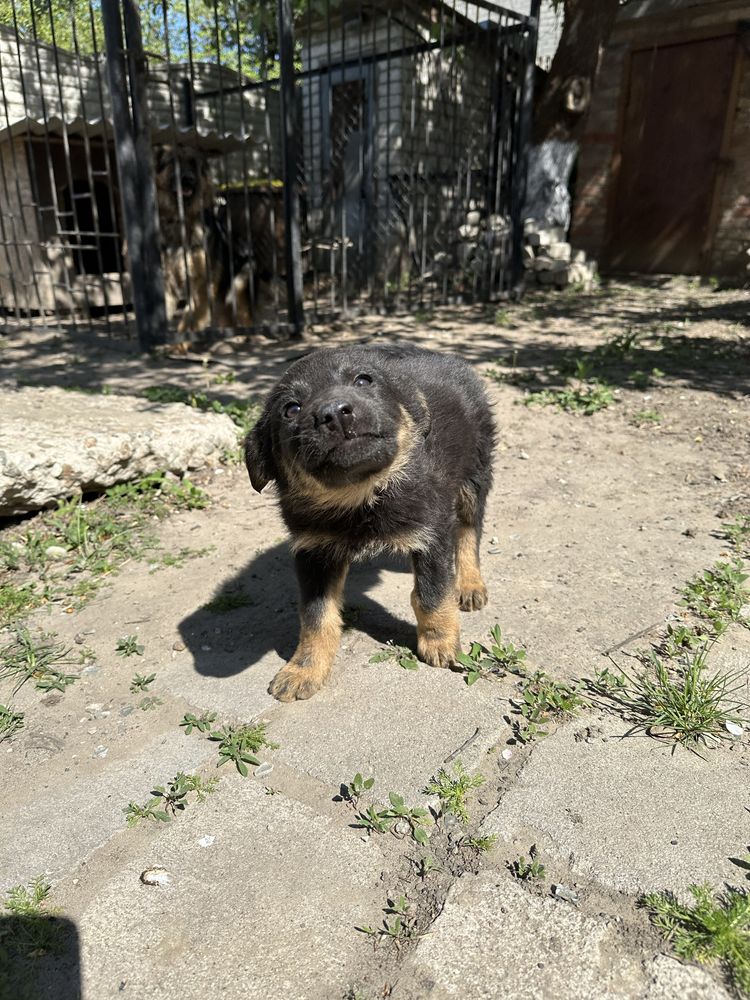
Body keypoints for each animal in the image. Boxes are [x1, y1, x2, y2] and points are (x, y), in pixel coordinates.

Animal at [244, 344, 496, 704]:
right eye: (290, 409)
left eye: (364, 380)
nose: (334, 413)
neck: (360, 497)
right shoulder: (313, 551)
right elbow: (316, 617)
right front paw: (304, 669)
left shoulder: (431, 532)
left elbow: (431, 593)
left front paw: (440, 643)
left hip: (474, 476)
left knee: (469, 533)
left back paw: (471, 585)